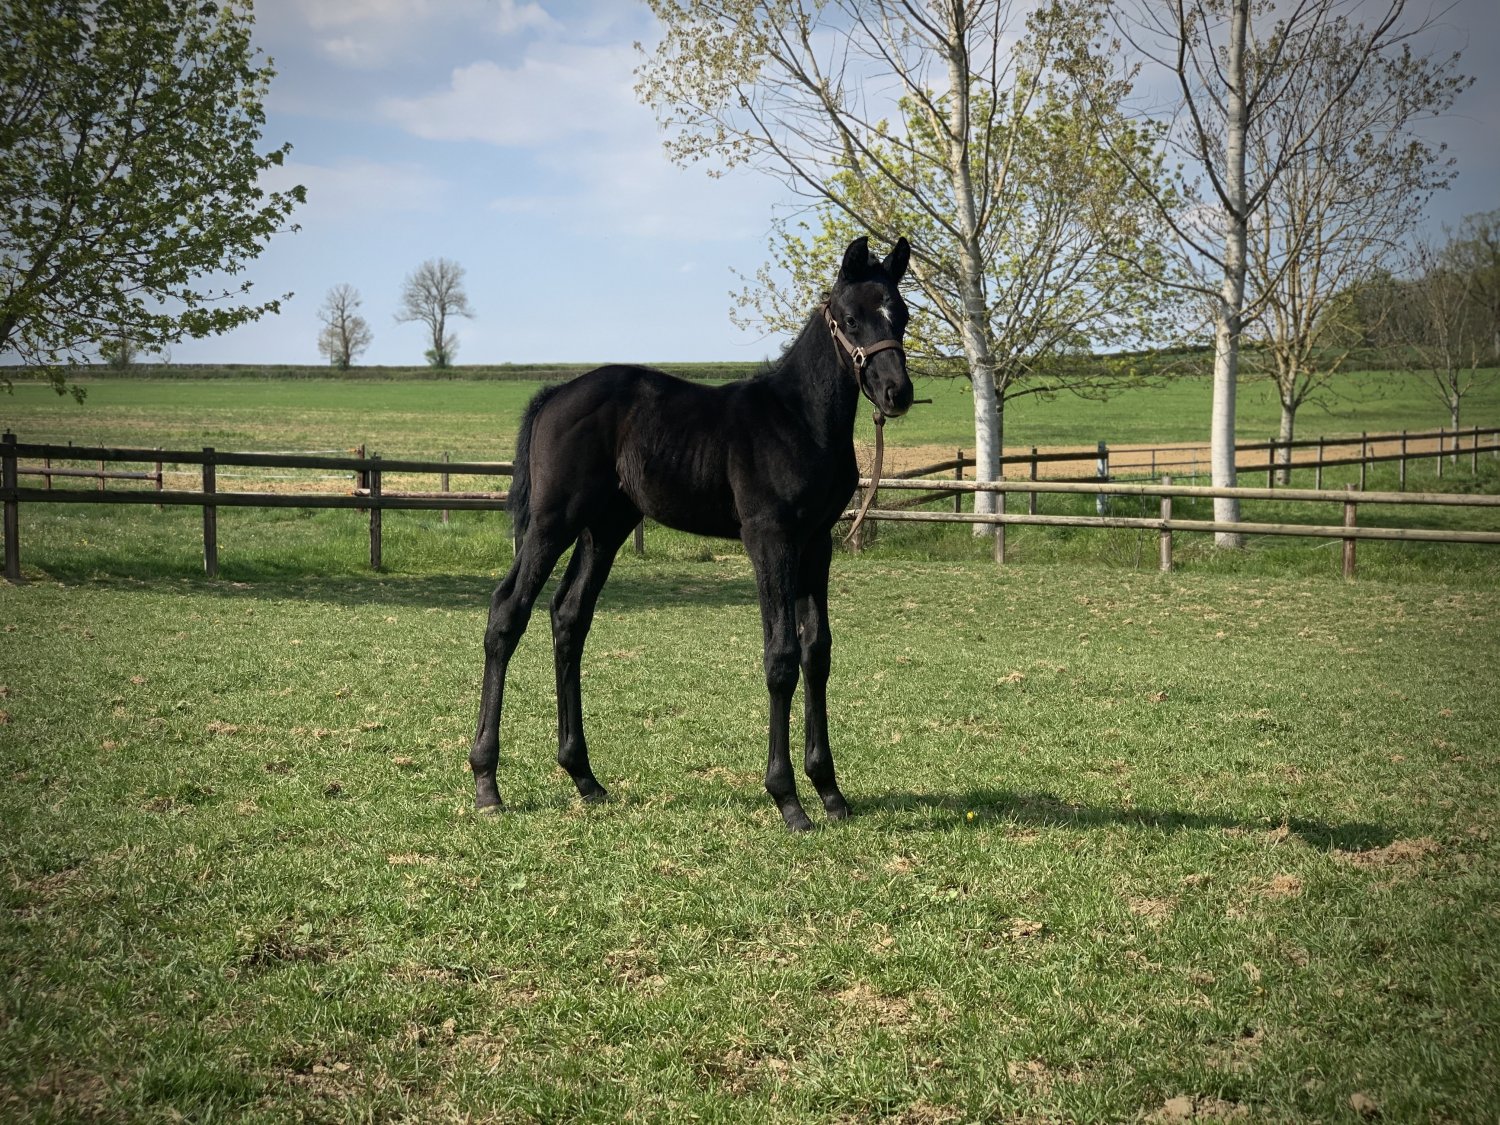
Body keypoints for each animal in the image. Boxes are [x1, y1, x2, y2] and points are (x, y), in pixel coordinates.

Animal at [469, 235, 913, 831]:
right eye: (849, 318)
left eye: (901, 315)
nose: (895, 392)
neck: (799, 418)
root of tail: (556, 393)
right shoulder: (770, 540)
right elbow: (781, 657)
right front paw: (788, 799)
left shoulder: (816, 543)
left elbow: (816, 652)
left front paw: (831, 792)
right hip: (551, 521)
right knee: (507, 612)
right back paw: (487, 782)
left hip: (604, 527)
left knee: (568, 617)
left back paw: (584, 777)